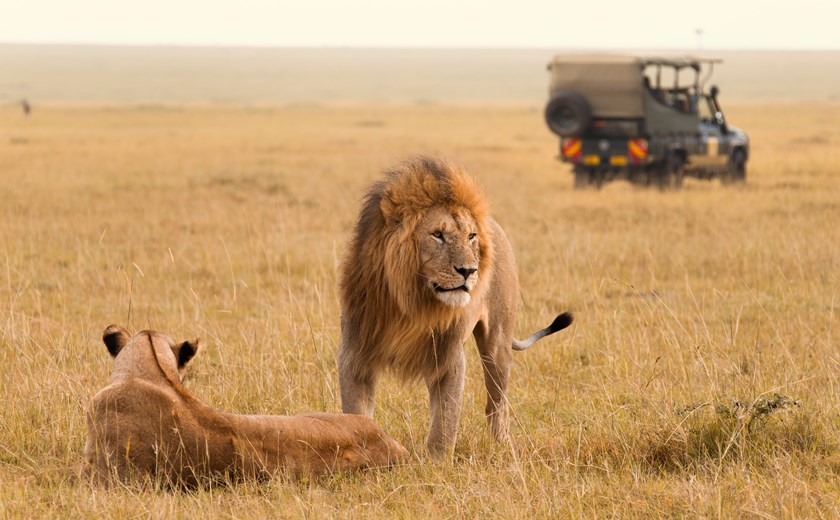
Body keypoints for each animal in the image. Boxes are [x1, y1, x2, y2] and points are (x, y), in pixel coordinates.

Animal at [338, 156, 573, 457]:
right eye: (438, 235)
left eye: (471, 236)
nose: (469, 270)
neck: (412, 303)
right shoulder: (355, 353)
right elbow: (355, 414)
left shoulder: (449, 356)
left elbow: (445, 421)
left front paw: (435, 464)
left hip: (497, 343)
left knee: (497, 404)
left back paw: (504, 447)